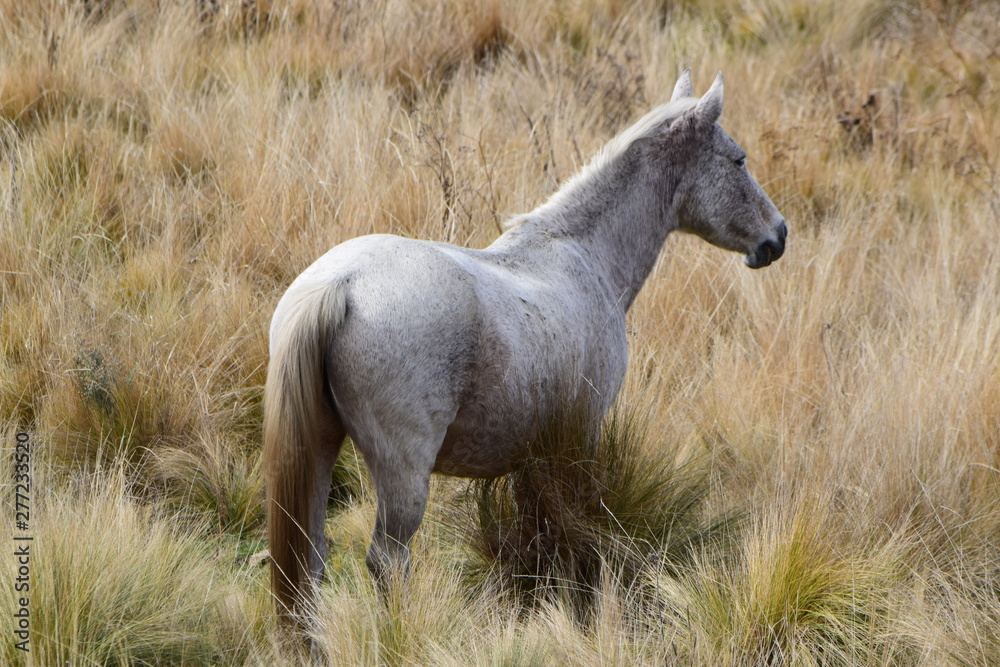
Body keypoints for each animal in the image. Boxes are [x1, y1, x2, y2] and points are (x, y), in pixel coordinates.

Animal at [263, 70, 787, 629]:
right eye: (737, 159)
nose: (777, 235)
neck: (579, 255)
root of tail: (341, 284)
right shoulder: (582, 437)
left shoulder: (531, 456)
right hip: (401, 472)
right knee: (387, 561)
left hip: (319, 449)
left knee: (311, 559)